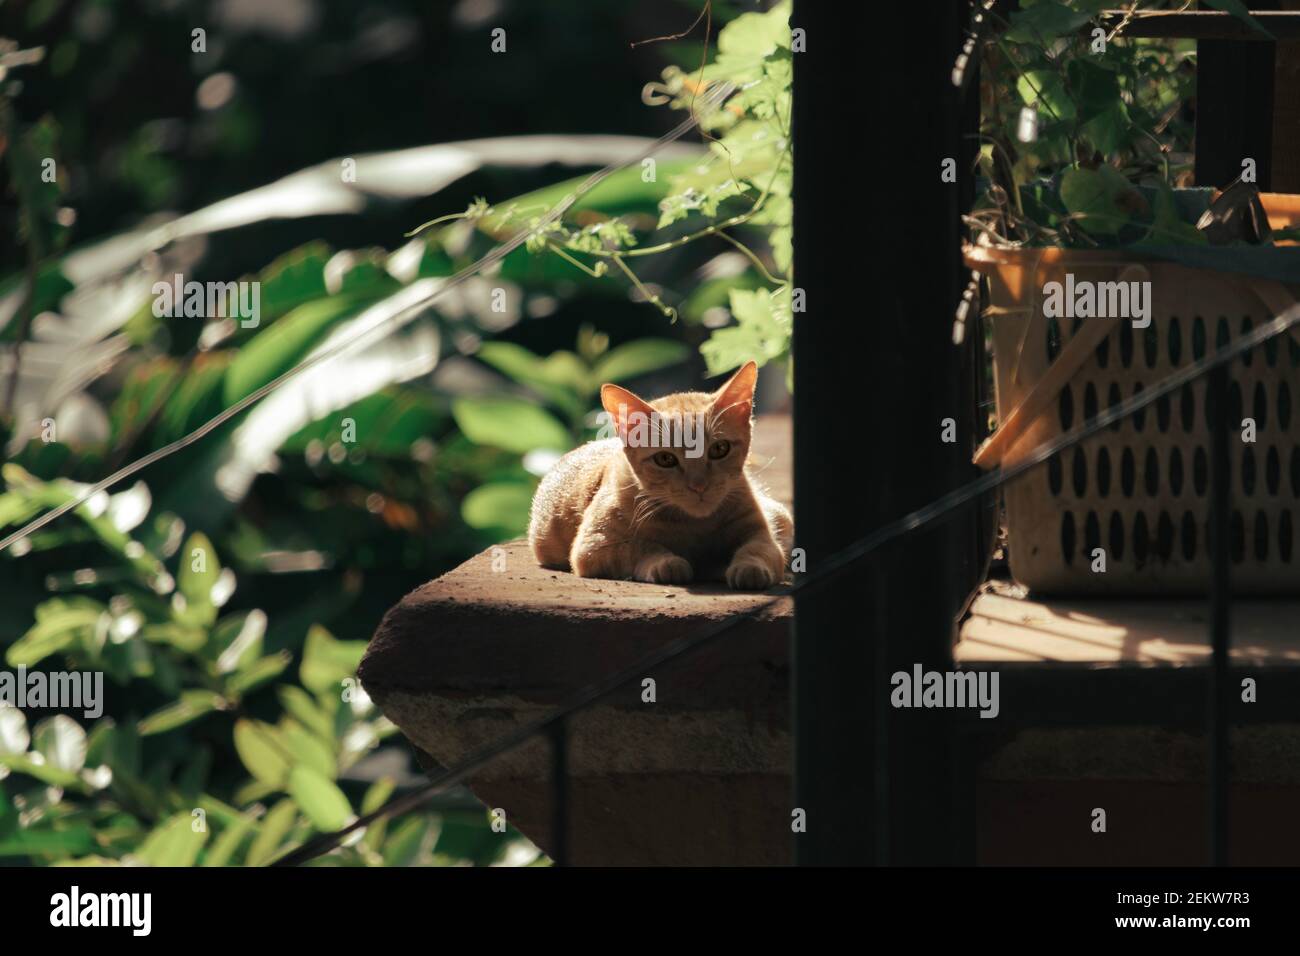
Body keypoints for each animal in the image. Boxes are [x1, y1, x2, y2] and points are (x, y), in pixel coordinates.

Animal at [527, 361, 790, 590]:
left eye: (719, 449)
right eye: (665, 459)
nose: (699, 486)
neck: (694, 525)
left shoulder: (761, 534)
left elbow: (759, 549)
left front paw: (749, 567)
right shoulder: (593, 546)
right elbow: (639, 546)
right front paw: (667, 562)